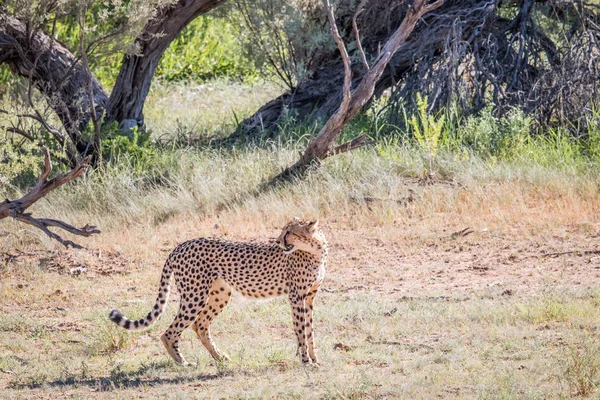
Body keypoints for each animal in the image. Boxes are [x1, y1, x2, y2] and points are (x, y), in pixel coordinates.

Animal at [105, 219, 326, 366]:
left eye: (289, 232)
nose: (278, 241)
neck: (316, 251)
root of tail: (181, 245)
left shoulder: (309, 297)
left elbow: (309, 329)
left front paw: (315, 359)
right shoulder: (296, 296)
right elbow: (301, 329)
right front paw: (306, 361)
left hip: (219, 293)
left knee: (200, 325)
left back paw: (220, 357)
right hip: (194, 296)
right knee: (170, 332)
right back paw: (183, 363)